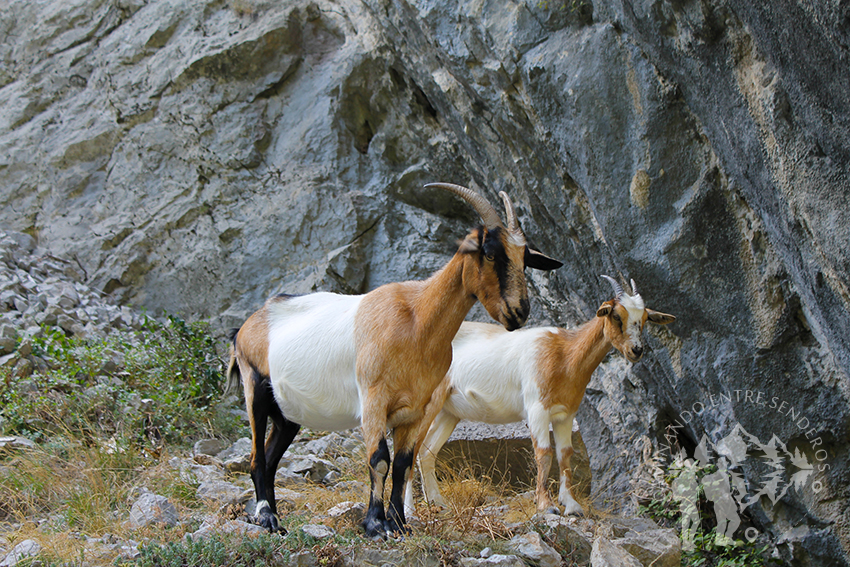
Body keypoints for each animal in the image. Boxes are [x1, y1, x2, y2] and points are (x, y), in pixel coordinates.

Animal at [224, 184, 564, 540]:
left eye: (524, 259)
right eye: (489, 252)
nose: (519, 312)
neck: (417, 320)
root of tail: (244, 329)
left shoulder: (417, 409)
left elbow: (403, 462)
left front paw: (400, 523)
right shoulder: (374, 398)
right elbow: (379, 459)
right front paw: (376, 524)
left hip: (287, 413)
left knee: (272, 457)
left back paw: (276, 517)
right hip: (254, 387)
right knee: (256, 458)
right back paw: (266, 517)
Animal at [404, 278, 676, 516]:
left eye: (644, 319)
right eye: (616, 315)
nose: (636, 350)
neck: (564, 354)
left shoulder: (566, 414)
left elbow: (565, 454)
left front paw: (572, 506)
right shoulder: (536, 409)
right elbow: (544, 453)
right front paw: (546, 506)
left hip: (448, 411)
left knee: (427, 452)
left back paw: (438, 504)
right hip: (428, 402)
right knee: (410, 449)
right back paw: (409, 513)